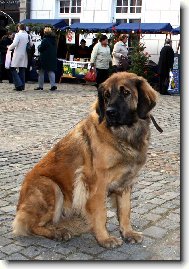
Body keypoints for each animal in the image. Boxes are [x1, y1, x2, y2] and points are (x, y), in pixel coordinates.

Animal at [12, 71, 158, 247]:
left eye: (125, 93)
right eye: (107, 95)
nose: (110, 112)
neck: (123, 135)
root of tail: (19, 206)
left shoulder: (125, 184)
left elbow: (125, 211)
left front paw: (128, 233)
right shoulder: (96, 184)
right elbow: (101, 213)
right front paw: (105, 238)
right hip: (51, 187)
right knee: (31, 225)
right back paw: (58, 233)